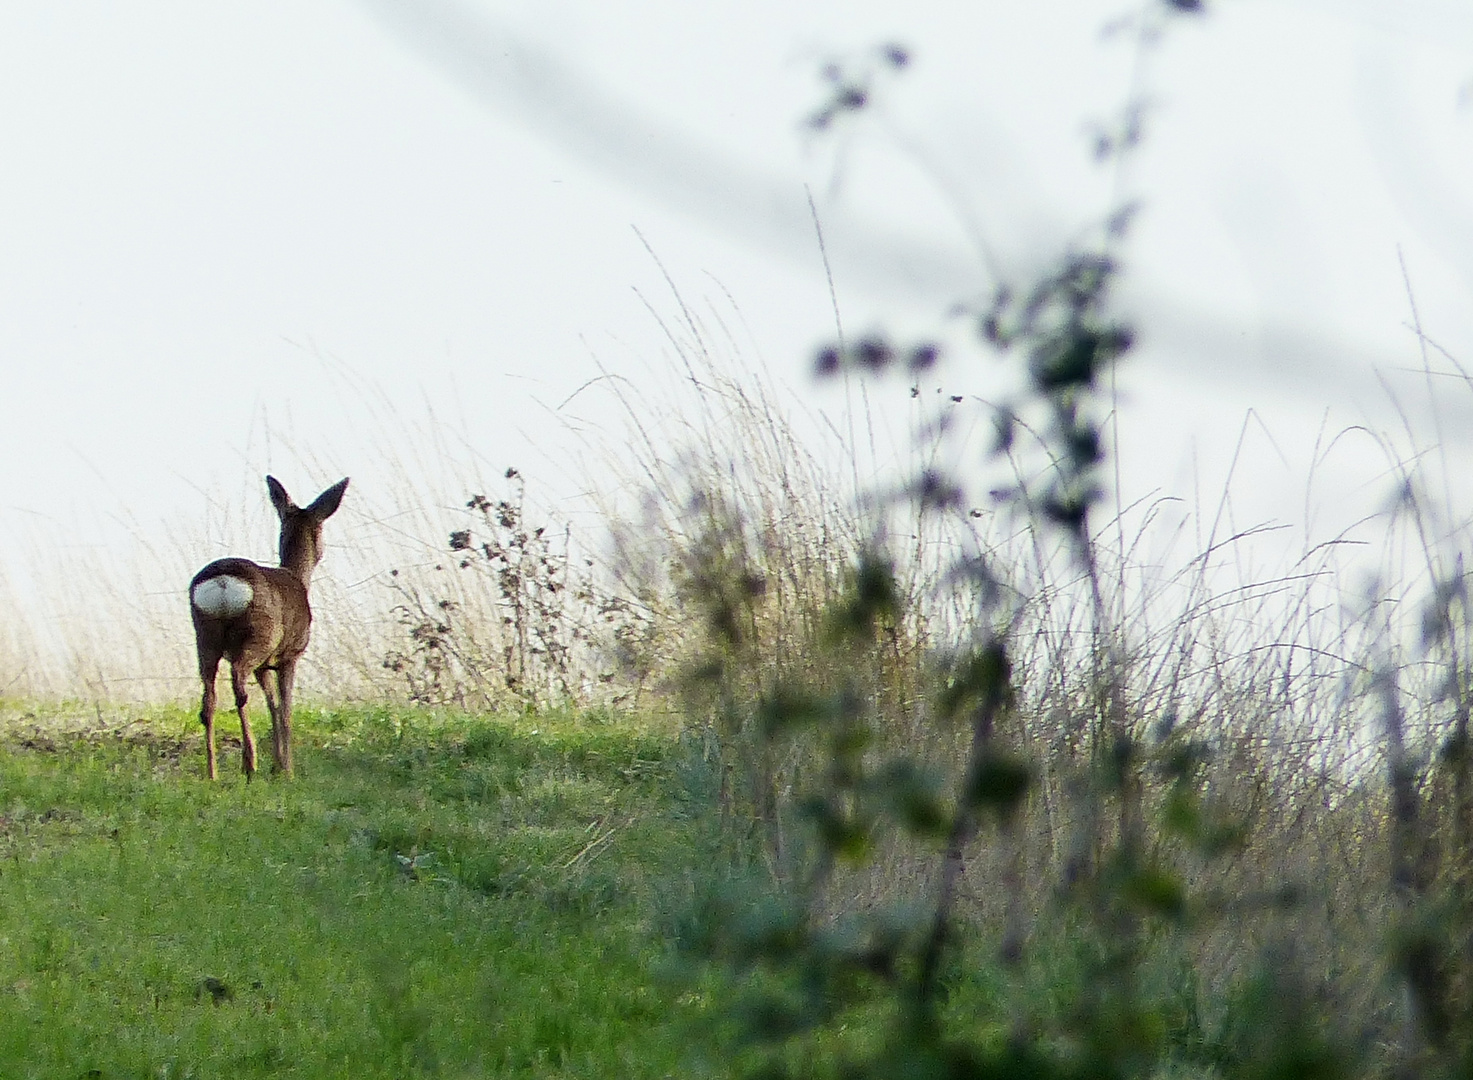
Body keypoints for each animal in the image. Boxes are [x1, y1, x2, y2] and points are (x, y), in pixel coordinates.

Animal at [190, 477, 350, 777]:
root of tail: (223, 583)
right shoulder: (290, 655)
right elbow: (285, 708)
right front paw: (287, 770)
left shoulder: (265, 666)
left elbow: (272, 705)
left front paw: (278, 765)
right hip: (258, 635)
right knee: (238, 684)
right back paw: (249, 764)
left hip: (204, 635)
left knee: (209, 700)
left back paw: (213, 772)